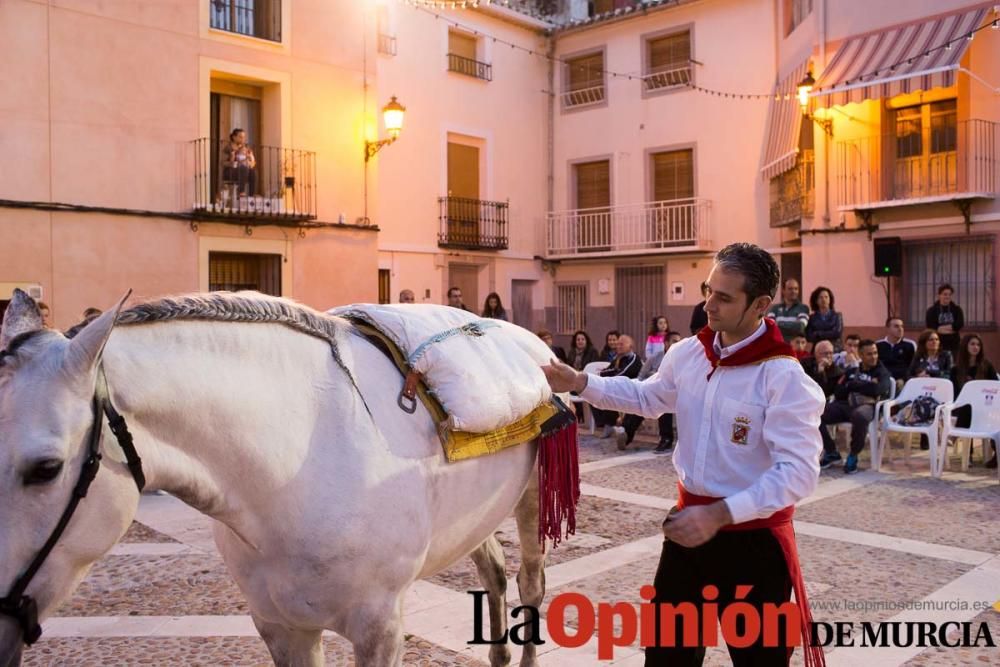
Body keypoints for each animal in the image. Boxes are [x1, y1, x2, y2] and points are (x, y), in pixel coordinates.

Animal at [0, 292, 556, 667]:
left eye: (46, 469)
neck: (288, 473)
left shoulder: (379, 627)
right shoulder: (280, 625)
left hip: (534, 498)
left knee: (529, 580)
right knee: (493, 569)